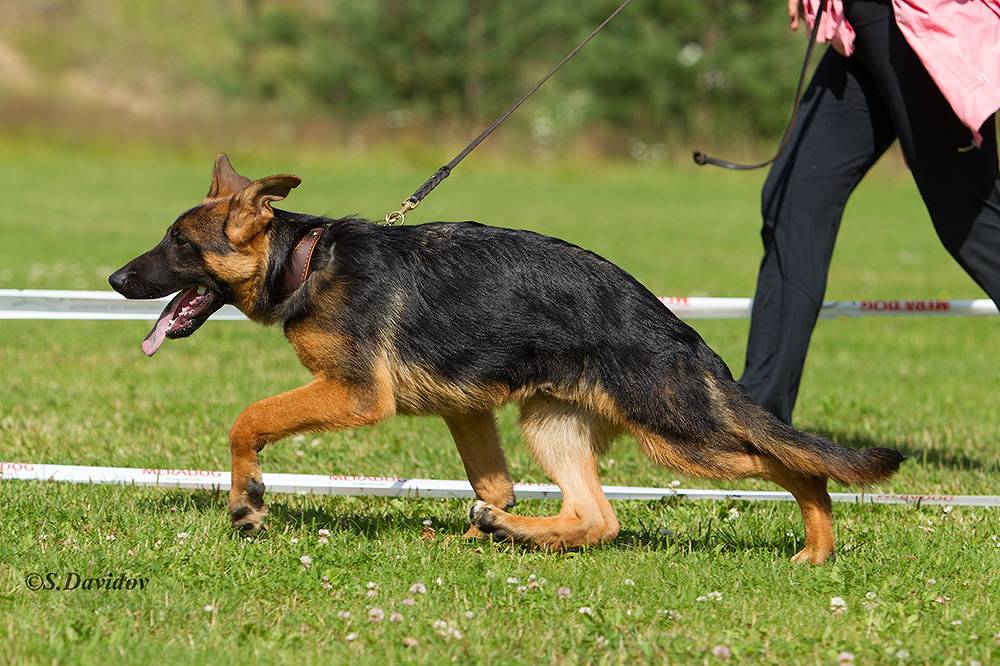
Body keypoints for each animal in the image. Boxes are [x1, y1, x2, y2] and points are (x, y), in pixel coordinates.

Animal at [111, 154, 908, 560]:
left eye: (179, 243)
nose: (115, 280)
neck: (306, 261)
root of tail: (678, 331)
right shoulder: (466, 410)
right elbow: (494, 485)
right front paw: (477, 527)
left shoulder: (355, 394)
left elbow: (248, 419)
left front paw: (246, 501)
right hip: (549, 423)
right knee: (597, 519)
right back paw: (508, 535)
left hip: (684, 437)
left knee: (794, 466)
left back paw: (817, 543)